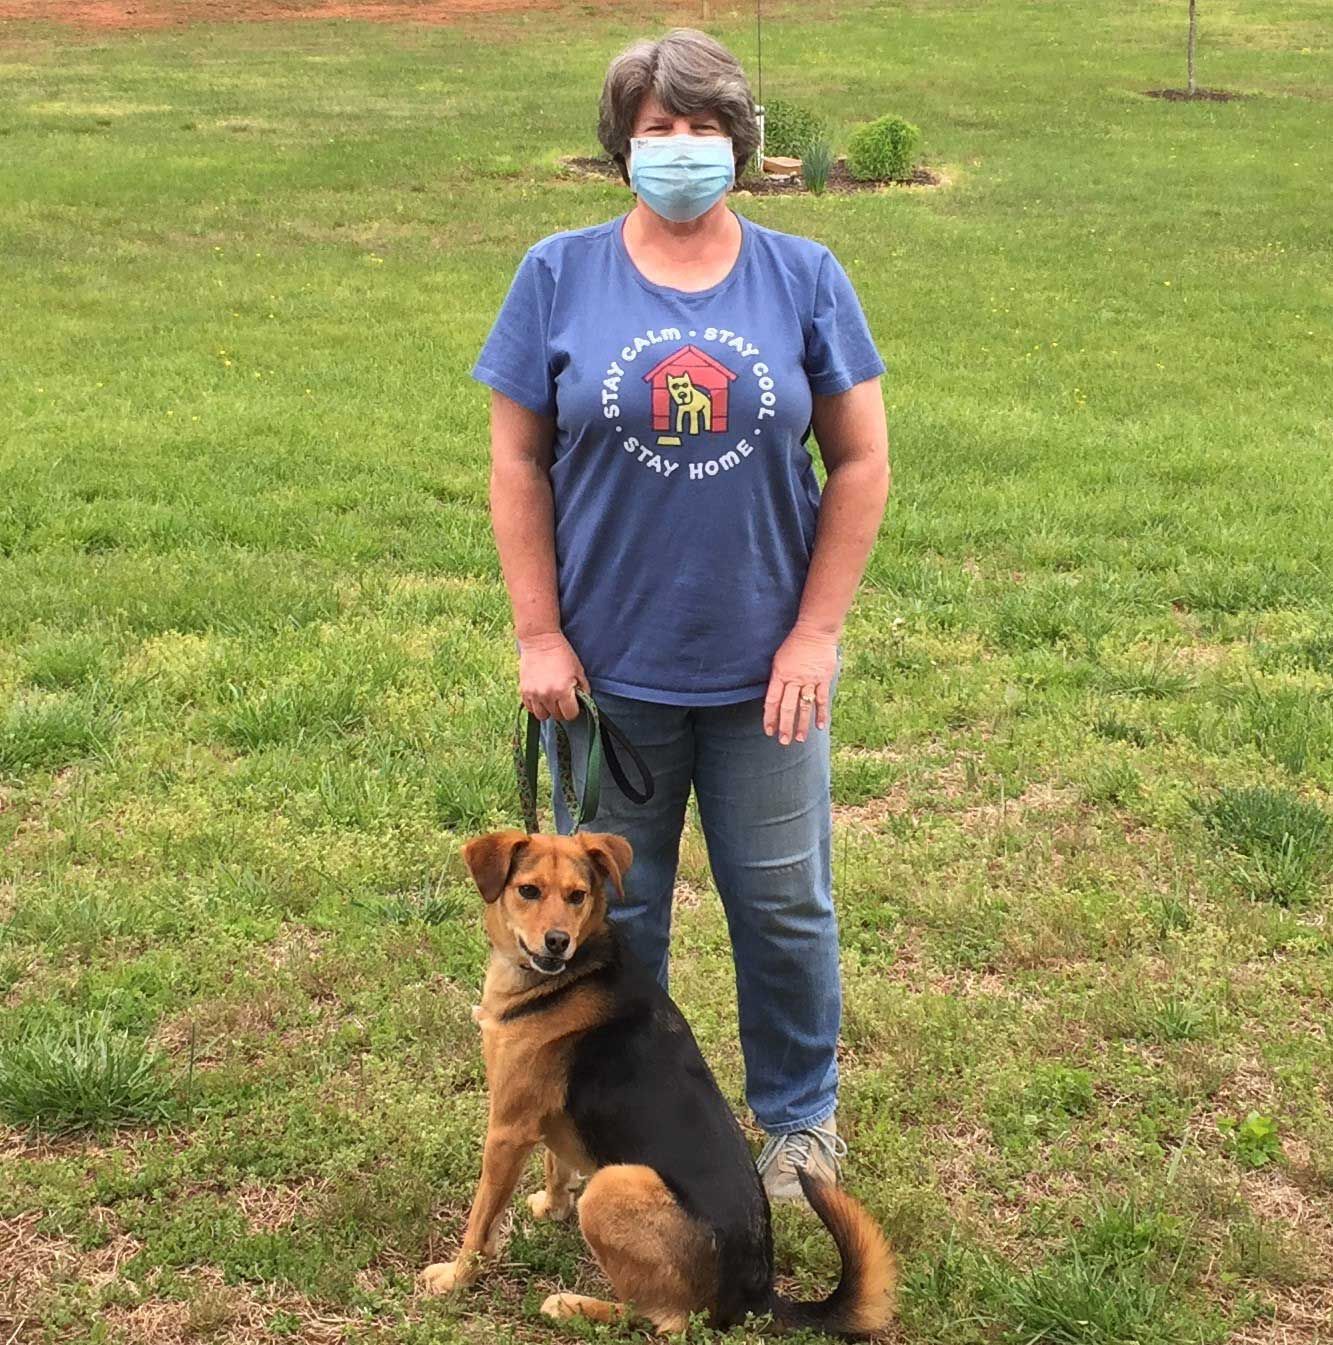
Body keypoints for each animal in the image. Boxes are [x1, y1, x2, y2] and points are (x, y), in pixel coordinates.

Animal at [416, 828, 898, 1334]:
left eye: (577, 896)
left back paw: (572, 1306)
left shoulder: (507, 1130)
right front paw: (552, 1207)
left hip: (612, 1186)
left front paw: (456, 1277)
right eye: (528, 891)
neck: (574, 971)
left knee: (658, 1315)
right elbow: (556, 1165)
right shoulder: (542, 1118)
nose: (557, 942)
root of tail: (756, 1296)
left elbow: (481, 1218)